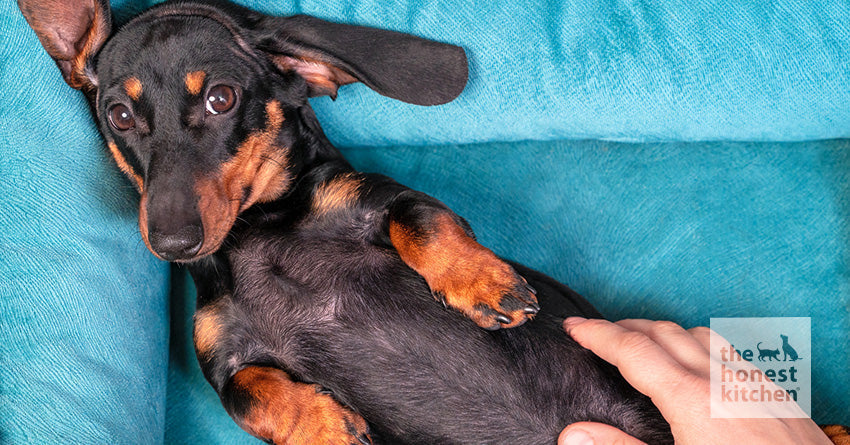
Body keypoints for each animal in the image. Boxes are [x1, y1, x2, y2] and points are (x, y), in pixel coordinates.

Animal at [18, 0, 676, 442]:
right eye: (120, 114)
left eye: (221, 99)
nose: (173, 242)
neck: (257, 233)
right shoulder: (223, 359)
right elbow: (247, 394)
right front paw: (324, 425)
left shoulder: (380, 198)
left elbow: (422, 222)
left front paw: (482, 283)